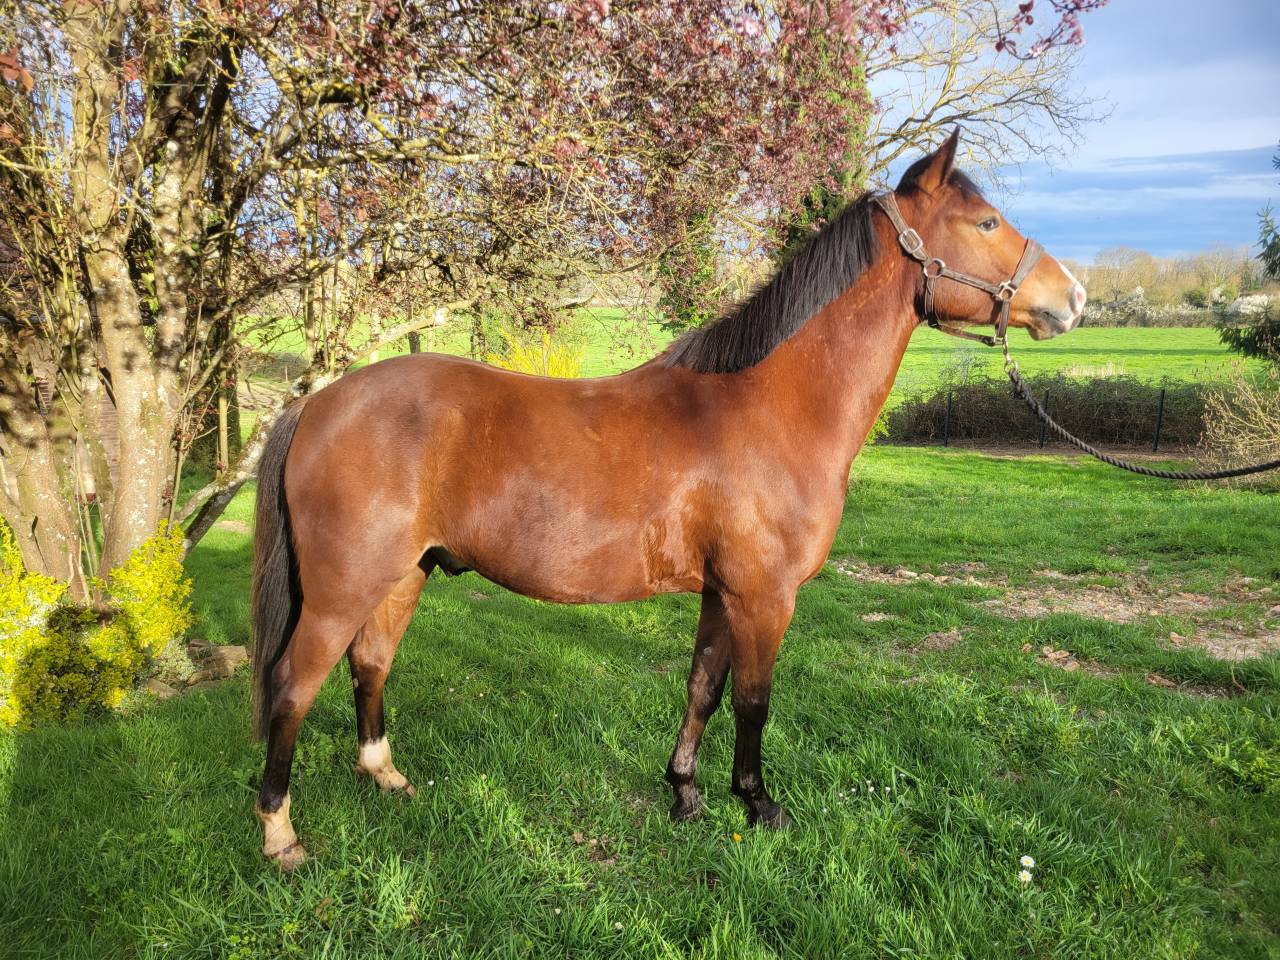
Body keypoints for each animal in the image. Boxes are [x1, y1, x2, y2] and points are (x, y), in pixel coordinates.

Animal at [249, 130, 1086, 868]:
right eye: (986, 221)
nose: (1072, 298)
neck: (770, 409)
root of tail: (318, 403)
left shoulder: (722, 593)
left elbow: (703, 689)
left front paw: (685, 796)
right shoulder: (764, 595)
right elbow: (754, 700)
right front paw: (760, 804)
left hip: (403, 575)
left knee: (370, 664)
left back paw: (386, 776)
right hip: (342, 588)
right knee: (293, 686)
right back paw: (280, 835)